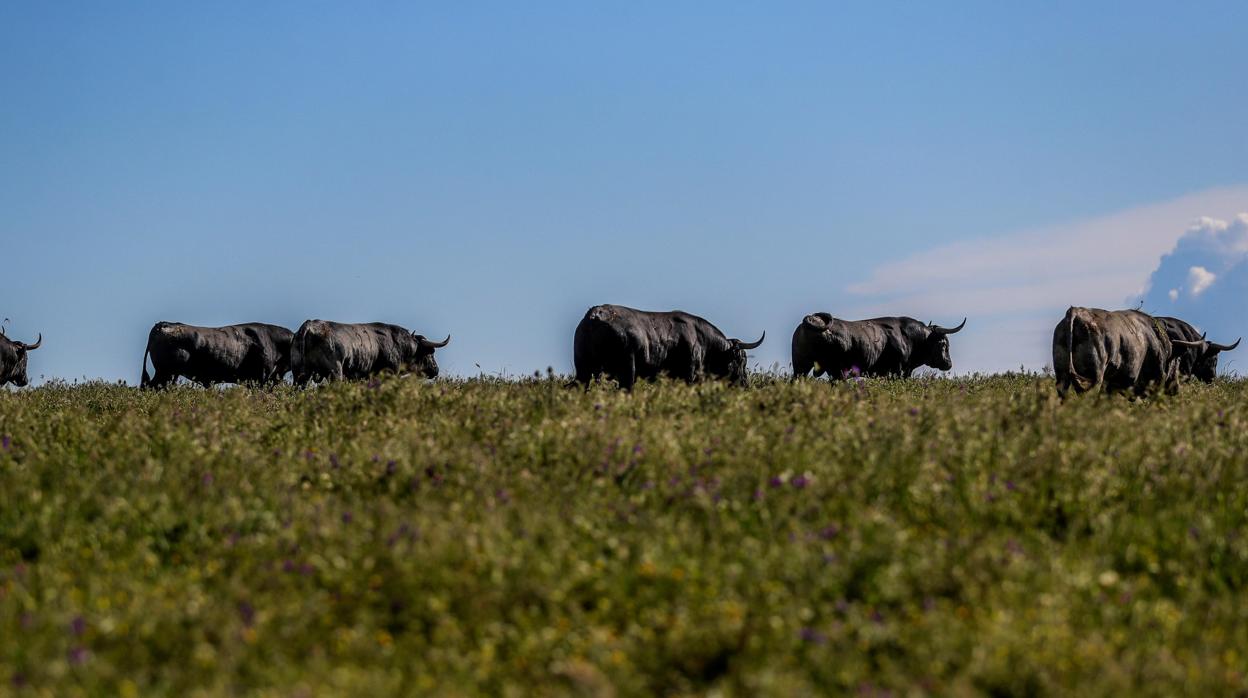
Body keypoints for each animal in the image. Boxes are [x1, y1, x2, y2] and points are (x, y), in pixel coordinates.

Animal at [571, 304, 763, 389]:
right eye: (741, 361)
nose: (746, 383)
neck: (703, 341)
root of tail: (596, 313)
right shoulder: (689, 374)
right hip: (627, 368)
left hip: (583, 369)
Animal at [788, 315, 963, 379]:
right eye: (944, 343)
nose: (948, 363)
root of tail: (811, 319)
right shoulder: (896, 371)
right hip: (836, 370)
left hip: (801, 366)